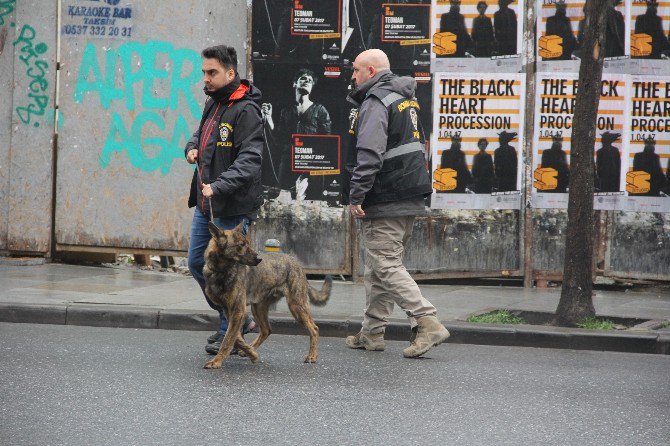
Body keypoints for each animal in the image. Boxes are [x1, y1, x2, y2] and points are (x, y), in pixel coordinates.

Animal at [202, 221, 334, 368]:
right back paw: (251, 348)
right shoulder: (229, 311)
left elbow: (228, 339)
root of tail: (297, 263)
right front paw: (251, 353)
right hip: (258, 308)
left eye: (247, 243)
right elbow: (235, 337)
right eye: (241, 245)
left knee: (314, 328)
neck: (220, 271)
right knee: (266, 330)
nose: (259, 259)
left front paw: (217, 361)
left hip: (296, 306)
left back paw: (312, 356)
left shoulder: (237, 310)